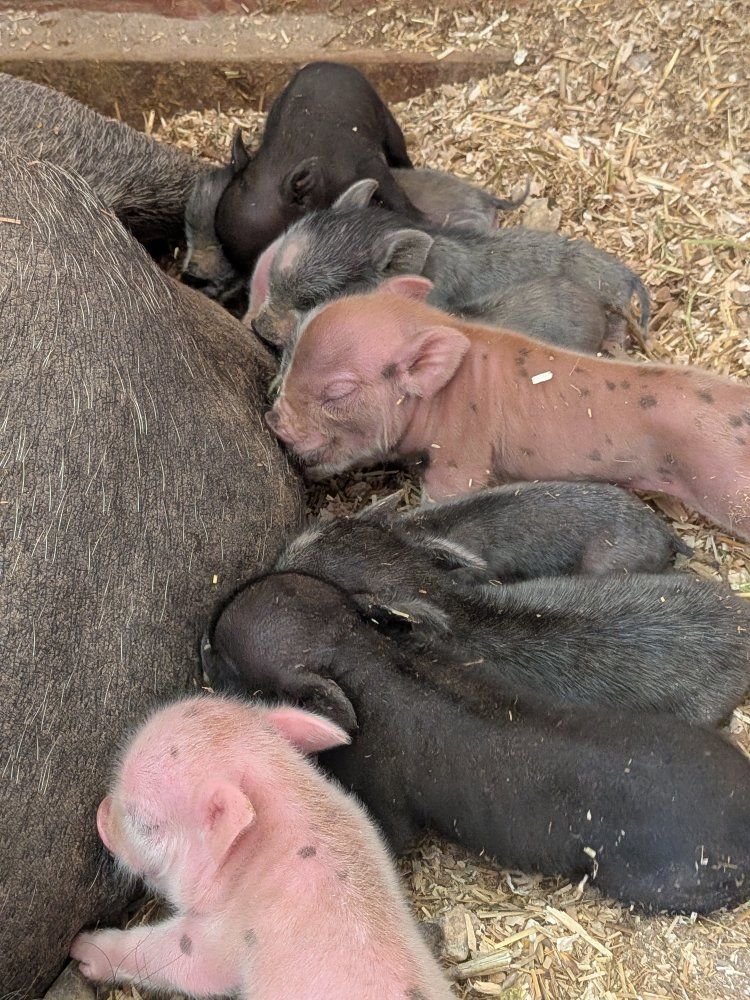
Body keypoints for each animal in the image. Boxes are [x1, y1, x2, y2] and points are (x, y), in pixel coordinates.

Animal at [267, 277, 750, 541]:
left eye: (338, 392)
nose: (274, 419)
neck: (447, 392)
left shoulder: (463, 454)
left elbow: (447, 492)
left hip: (730, 489)